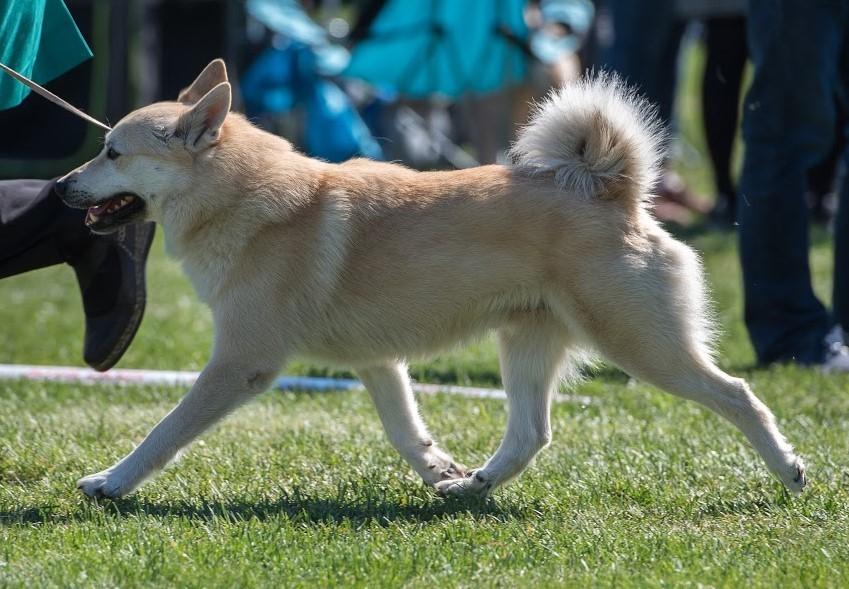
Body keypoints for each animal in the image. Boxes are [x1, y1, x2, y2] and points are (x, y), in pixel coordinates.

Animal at [56, 59, 804, 498]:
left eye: (112, 152)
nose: (61, 187)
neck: (247, 199)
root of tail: (613, 190)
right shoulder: (377, 362)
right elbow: (405, 430)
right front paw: (439, 469)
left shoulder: (240, 364)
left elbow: (163, 433)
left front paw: (110, 481)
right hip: (527, 344)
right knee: (531, 435)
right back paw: (472, 487)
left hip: (641, 347)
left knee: (739, 396)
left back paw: (789, 471)